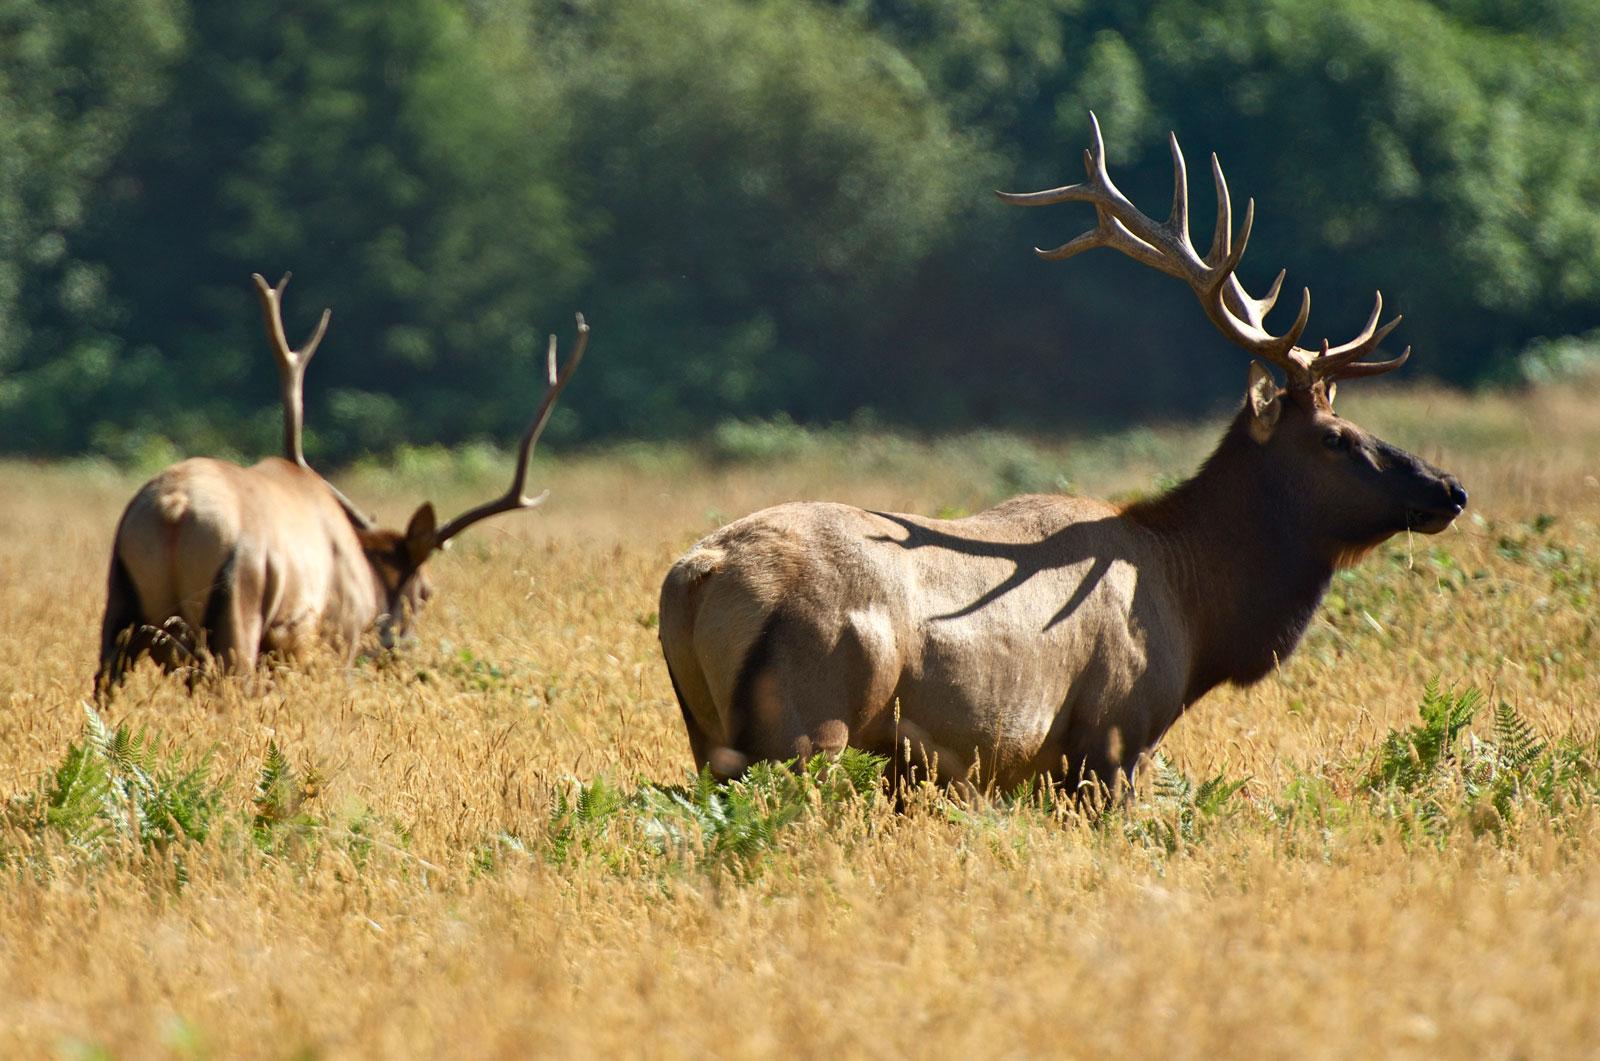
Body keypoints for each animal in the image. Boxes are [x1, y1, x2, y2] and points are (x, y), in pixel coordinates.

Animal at [92, 272, 588, 697]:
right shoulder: (336, 639)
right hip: (238, 612)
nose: (402, 654)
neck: (366, 576)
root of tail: (173, 511)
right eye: (425, 592)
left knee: (103, 690)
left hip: (119, 607)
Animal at [656, 118, 1465, 796]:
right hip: (809, 723)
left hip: (709, 736)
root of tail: (698, 576)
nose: (1448, 489)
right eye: (1335, 436)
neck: (1195, 609)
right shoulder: (1112, 734)